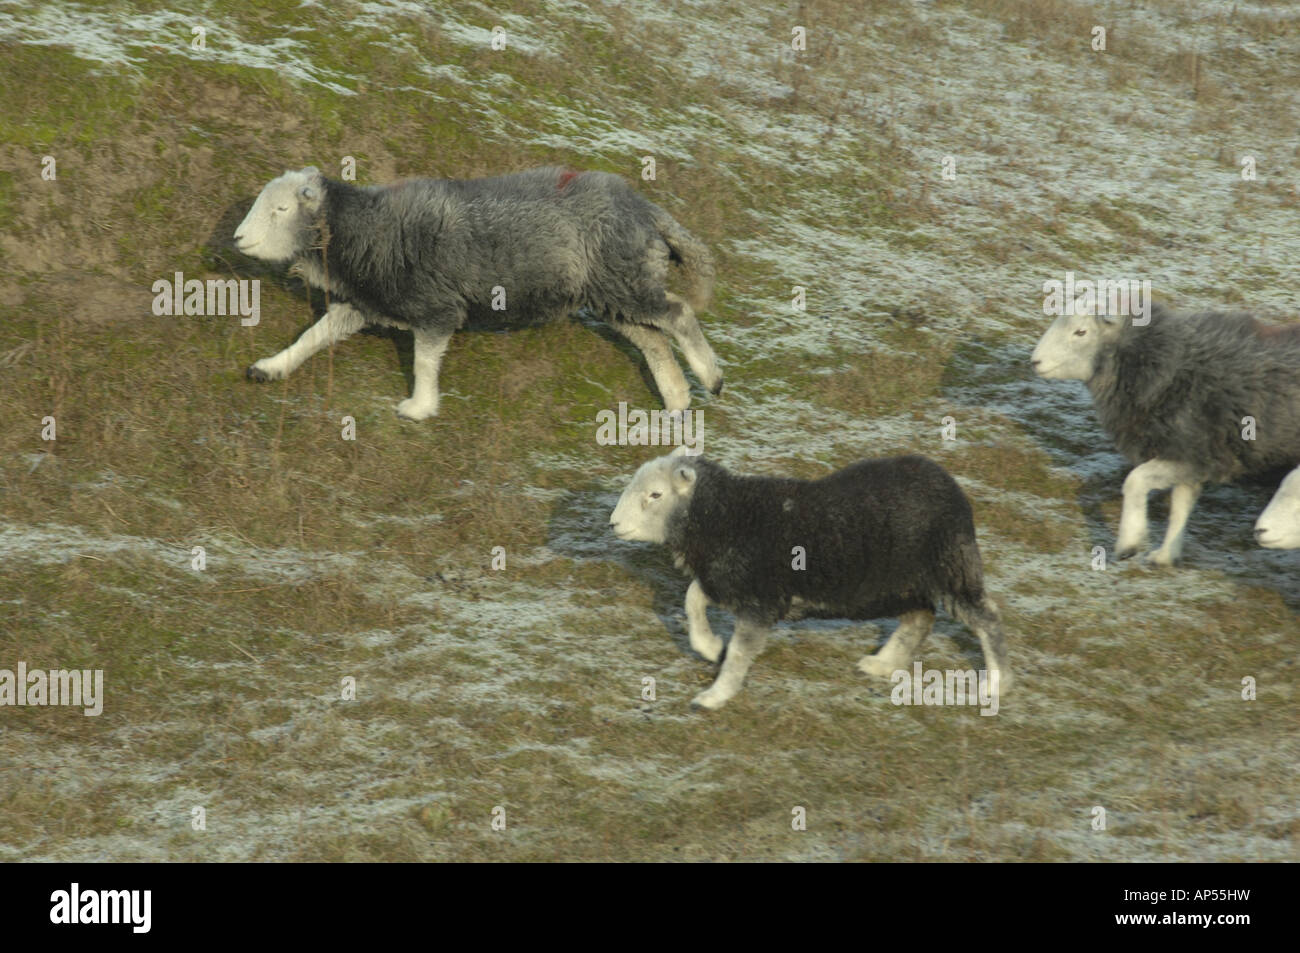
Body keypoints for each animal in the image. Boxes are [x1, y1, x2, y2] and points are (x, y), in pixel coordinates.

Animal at [233, 165, 722, 418]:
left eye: (280, 209)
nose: (237, 239)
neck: (367, 229)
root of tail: (646, 210)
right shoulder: (358, 304)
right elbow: (312, 337)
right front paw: (270, 367)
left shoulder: (436, 309)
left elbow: (425, 361)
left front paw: (419, 406)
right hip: (611, 293)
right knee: (653, 339)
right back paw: (677, 400)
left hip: (625, 282)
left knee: (678, 314)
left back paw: (710, 378)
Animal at [603, 449, 1008, 712]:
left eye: (655, 494)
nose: (613, 523)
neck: (728, 516)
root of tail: (949, 484)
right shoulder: (728, 581)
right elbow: (692, 599)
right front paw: (708, 646)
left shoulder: (760, 601)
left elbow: (739, 652)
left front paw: (715, 696)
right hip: (898, 583)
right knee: (920, 617)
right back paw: (883, 663)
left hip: (950, 565)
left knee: (987, 618)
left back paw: (997, 682)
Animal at [1029, 301, 1300, 561]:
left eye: (1081, 332)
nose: (1035, 361)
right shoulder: (1189, 460)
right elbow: (1180, 506)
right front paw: (1166, 554)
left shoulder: (1192, 454)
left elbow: (1135, 481)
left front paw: (1129, 542)